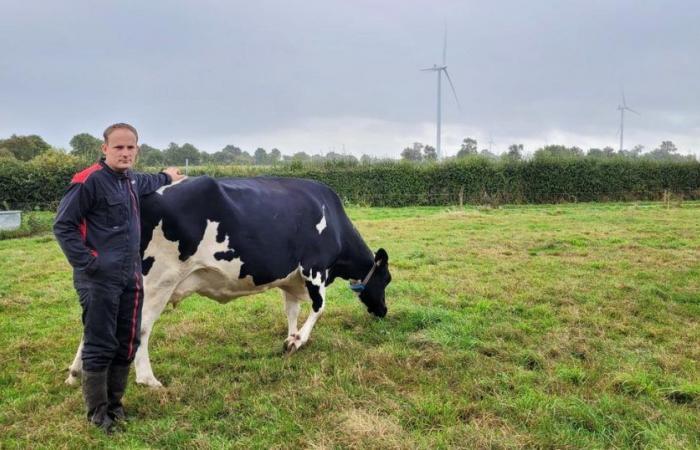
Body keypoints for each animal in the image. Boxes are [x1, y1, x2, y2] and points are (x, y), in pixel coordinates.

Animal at [66, 176, 392, 386]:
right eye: (386, 279)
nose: (383, 311)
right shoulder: (315, 268)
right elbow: (319, 308)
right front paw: (299, 340)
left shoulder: (291, 278)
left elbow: (292, 309)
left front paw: (290, 338)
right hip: (157, 280)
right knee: (141, 328)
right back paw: (148, 379)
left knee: (94, 324)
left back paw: (76, 373)